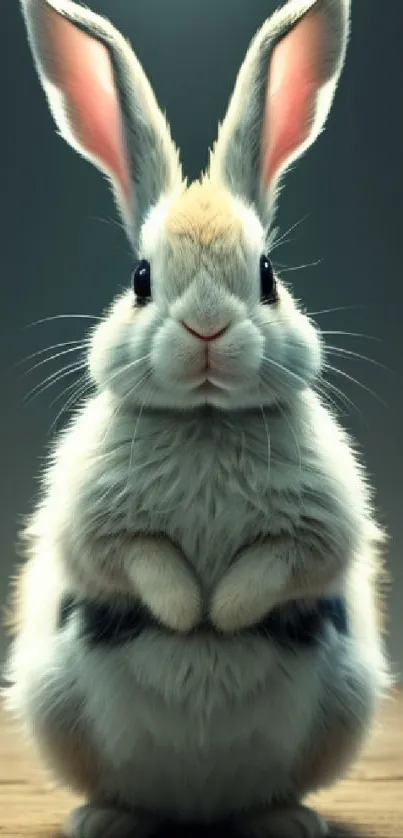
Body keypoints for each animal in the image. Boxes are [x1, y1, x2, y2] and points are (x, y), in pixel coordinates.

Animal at [4, 1, 392, 838]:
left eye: (267, 276)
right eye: (141, 278)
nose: (206, 329)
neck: (206, 422)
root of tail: (198, 808)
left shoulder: (316, 527)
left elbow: (273, 565)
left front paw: (224, 613)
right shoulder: (98, 525)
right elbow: (143, 561)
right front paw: (192, 617)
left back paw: (284, 820)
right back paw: (106, 820)